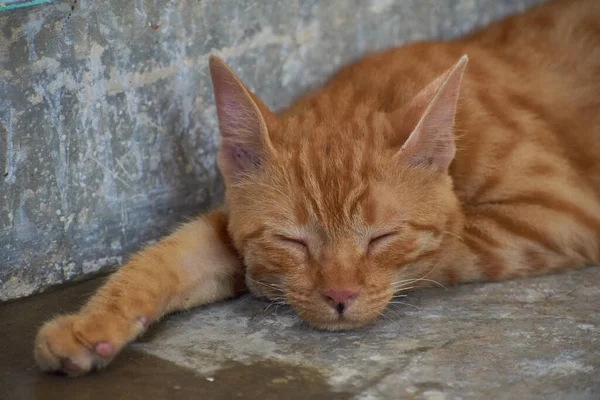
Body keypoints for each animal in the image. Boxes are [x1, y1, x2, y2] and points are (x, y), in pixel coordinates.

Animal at [34, 0, 600, 376]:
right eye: (293, 240)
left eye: (380, 237)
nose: (339, 296)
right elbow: (166, 256)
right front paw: (92, 323)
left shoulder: (559, 211)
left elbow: (447, 244)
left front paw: (264, 282)